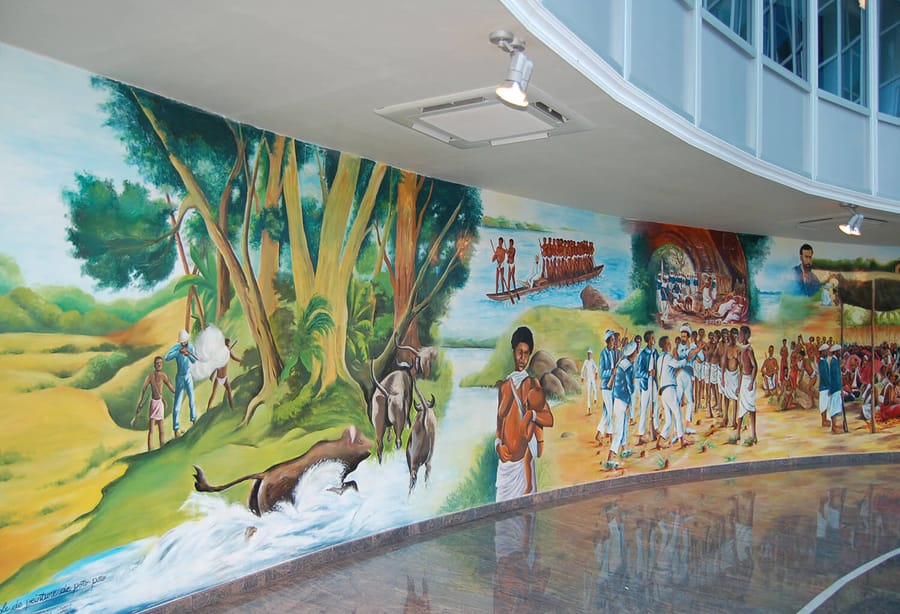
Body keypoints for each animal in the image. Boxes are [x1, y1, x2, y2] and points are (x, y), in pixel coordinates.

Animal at [192, 425, 371, 516]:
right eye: (360, 441)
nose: (372, 443)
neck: (337, 451)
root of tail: (263, 474)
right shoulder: (331, 481)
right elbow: (348, 485)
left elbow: (352, 483)